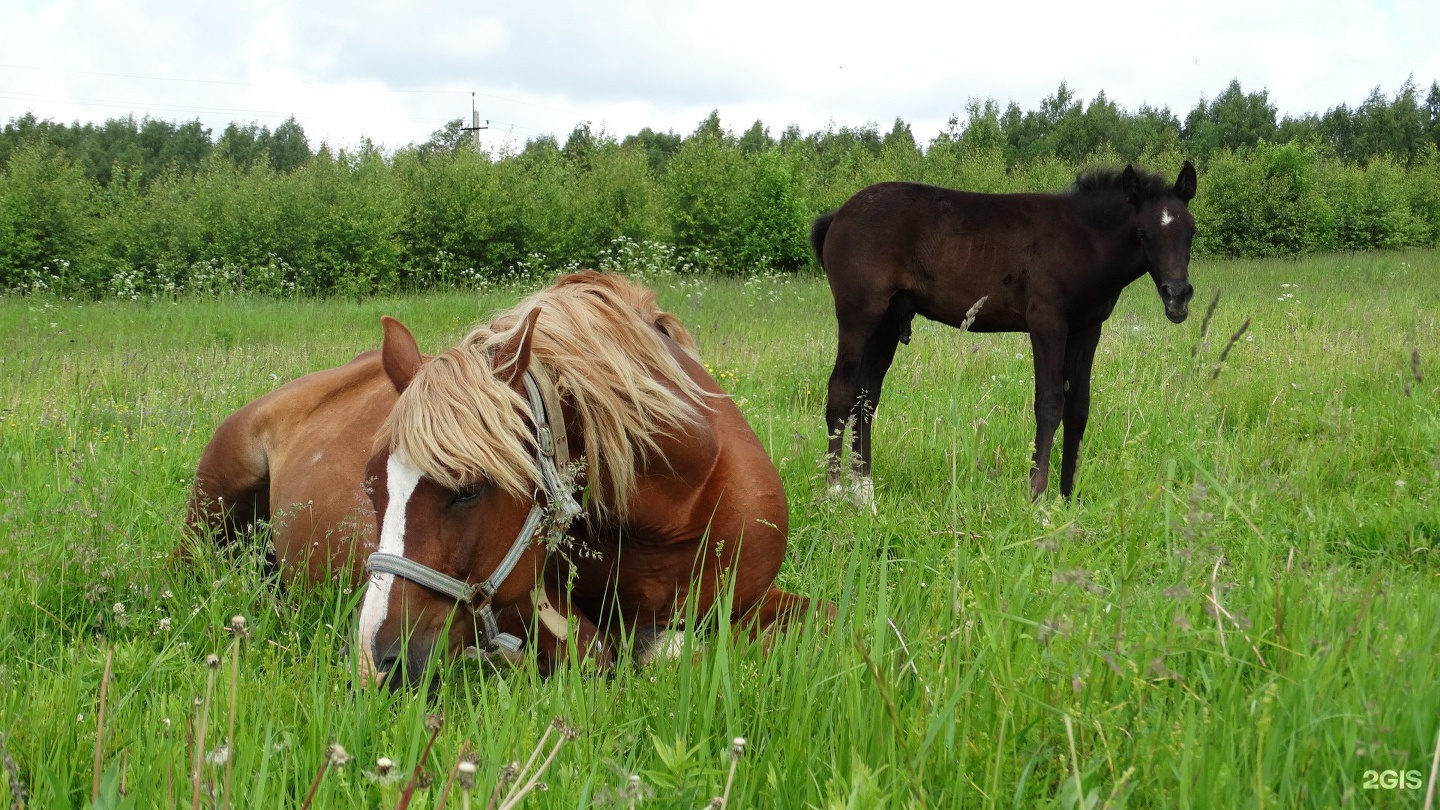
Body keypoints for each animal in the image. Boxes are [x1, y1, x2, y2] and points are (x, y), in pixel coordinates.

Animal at [188, 270, 823, 680]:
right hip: (211, 508)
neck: (676, 511)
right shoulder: (522, 603)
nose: (375, 657)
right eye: (371, 485)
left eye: (468, 490)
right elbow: (611, 653)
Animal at [812, 161, 1203, 501]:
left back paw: (864, 493)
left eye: (1191, 232)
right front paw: (1037, 500)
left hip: (887, 321)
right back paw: (833, 492)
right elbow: (1050, 403)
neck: (1082, 239)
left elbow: (1078, 407)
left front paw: (1068, 499)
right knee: (841, 390)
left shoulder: (1088, 327)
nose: (1177, 295)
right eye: (1143, 233)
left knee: (867, 394)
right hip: (859, 314)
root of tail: (838, 215)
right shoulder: (1046, 321)